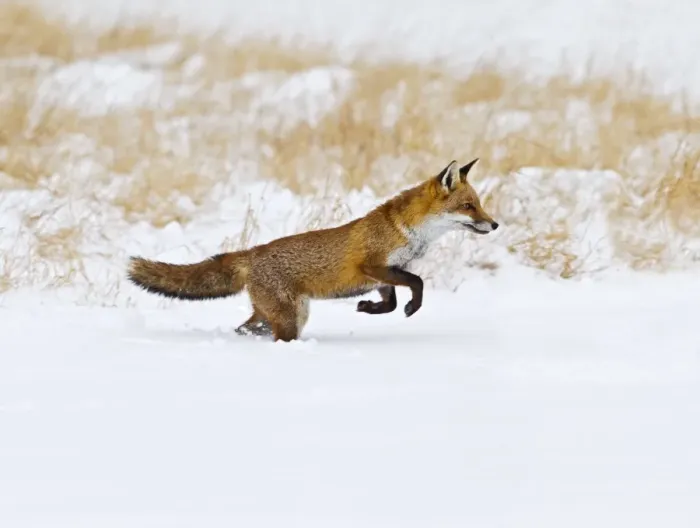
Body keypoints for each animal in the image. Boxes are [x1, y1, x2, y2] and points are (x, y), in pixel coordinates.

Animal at [127, 158, 499, 342]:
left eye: (479, 204)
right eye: (468, 206)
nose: (495, 225)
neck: (409, 233)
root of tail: (252, 252)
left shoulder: (383, 277)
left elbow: (390, 302)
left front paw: (367, 308)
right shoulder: (373, 266)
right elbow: (417, 283)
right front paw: (411, 308)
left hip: (278, 316)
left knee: (244, 328)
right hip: (289, 319)